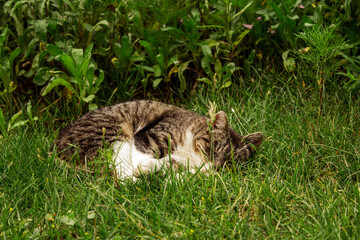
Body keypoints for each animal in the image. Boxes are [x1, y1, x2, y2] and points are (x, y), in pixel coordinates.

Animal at [52, 99, 262, 180]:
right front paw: (149, 168)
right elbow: (142, 156)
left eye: (230, 163)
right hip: (113, 133)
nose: (216, 165)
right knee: (121, 173)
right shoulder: (151, 136)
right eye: (213, 149)